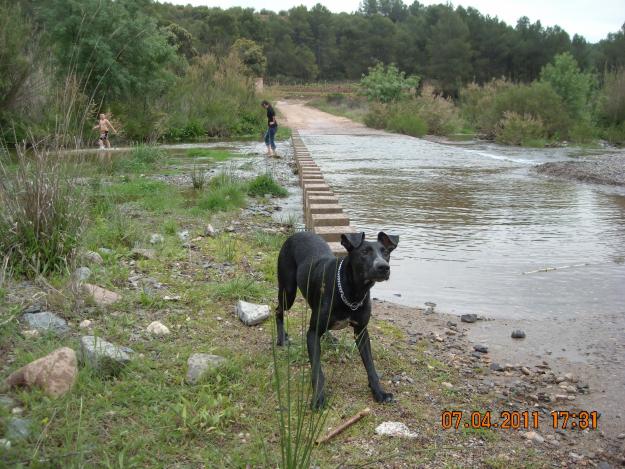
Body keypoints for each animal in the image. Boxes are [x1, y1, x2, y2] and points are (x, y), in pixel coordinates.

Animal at [276, 229, 398, 406]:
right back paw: (281, 338)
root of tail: (297, 234)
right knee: (277, 310)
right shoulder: (312, 334)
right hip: (288, 291)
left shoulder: (361, 332)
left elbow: (370, 366)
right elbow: (317, 371)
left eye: (386, 253)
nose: (383, 267)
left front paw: (379, 392)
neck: (352, 292)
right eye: (364, 252)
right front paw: (318, 398)